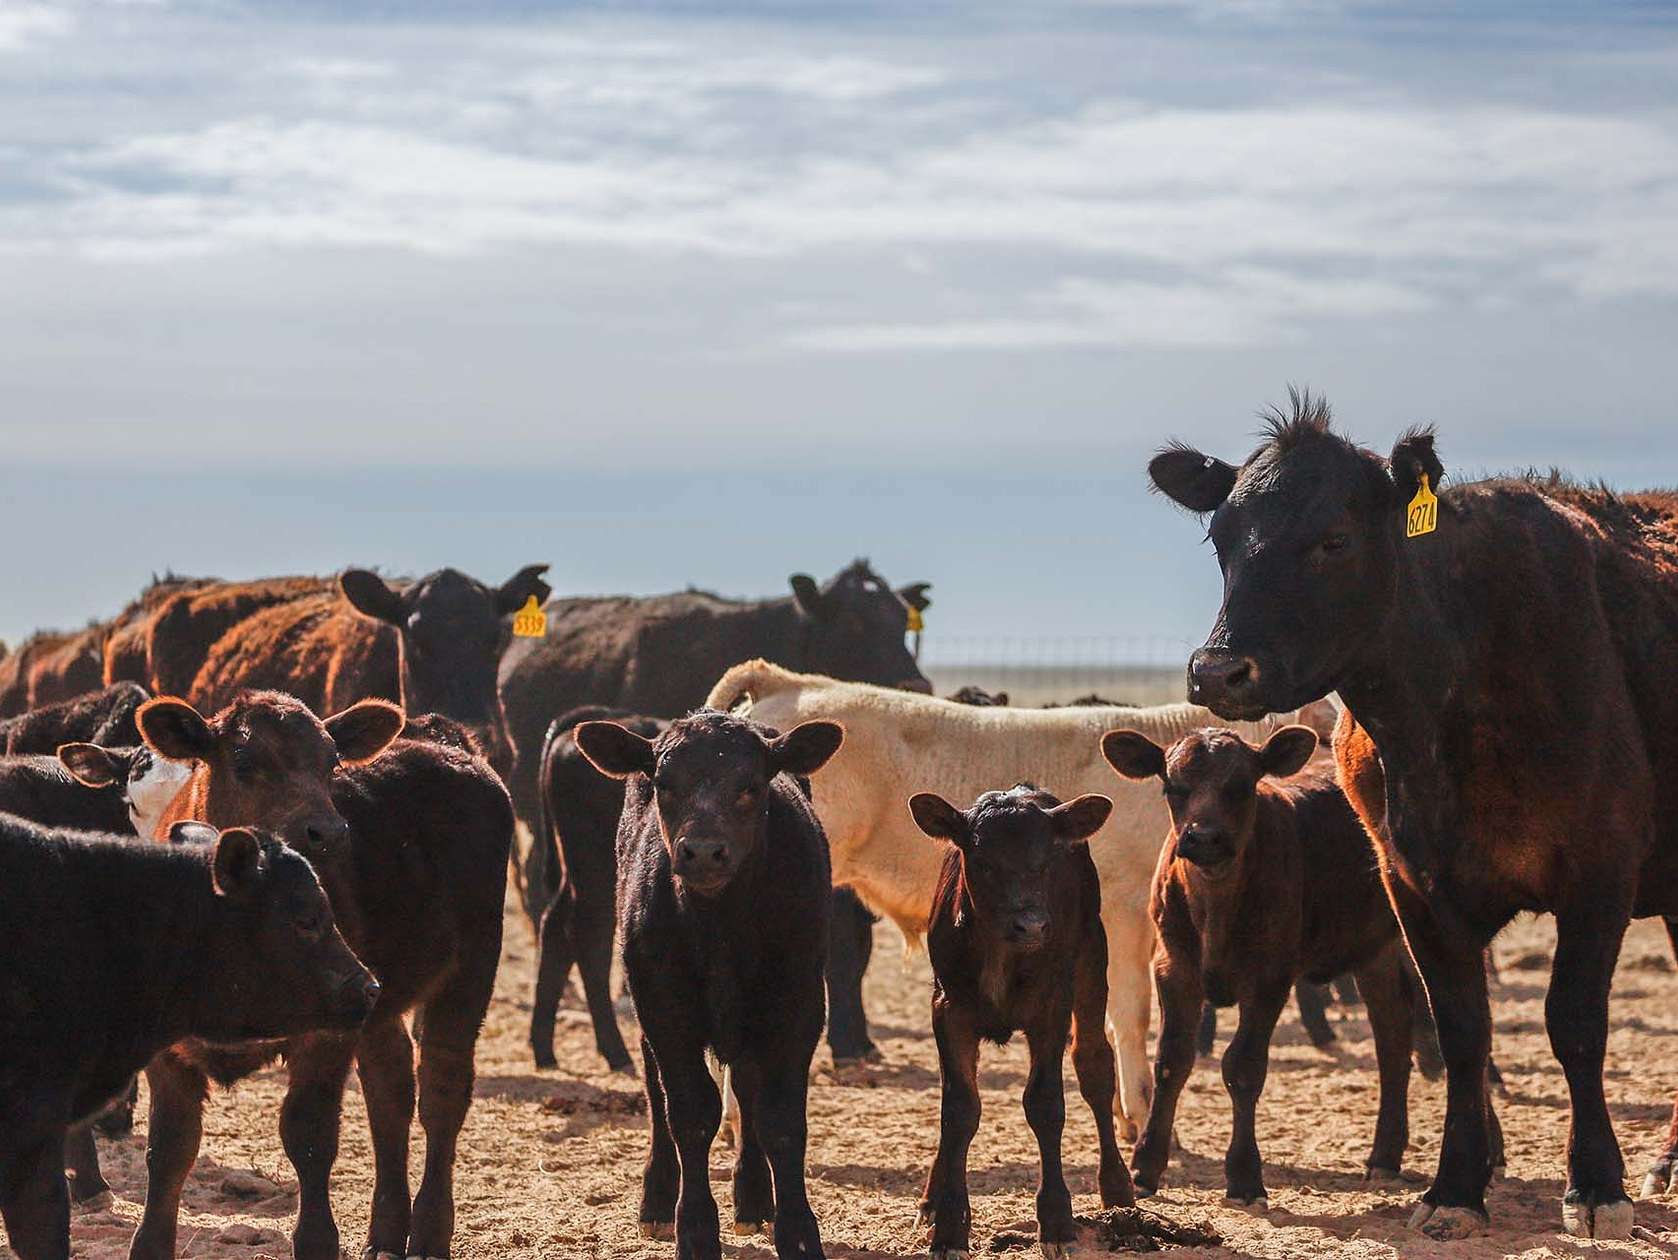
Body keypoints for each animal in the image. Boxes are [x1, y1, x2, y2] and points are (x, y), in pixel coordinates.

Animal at [577, 711, 845, 1260]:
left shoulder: (799, 1007)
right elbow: (690, 1112)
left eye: (751, 786)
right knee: (657, 1094)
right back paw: (658, 1200)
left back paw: (753, 1197)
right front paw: (695, 1229)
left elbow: (780, 1118)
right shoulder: (663, 1007)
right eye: (665, 784)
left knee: (746, 1087)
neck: (722, 927)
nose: (702, 852)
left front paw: (798, 1230)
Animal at [1100, 728, 1416, 1214]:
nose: (1204, 838)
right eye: (1173, 787)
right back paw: (1384, 1156)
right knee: (1393, 1033)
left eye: (1242, 786)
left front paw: (1245, 1176)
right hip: (1373, 948)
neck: (1216, 904)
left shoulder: (1268, 977)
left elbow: (1243, 1066)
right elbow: (1172, 1060)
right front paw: (1145, 1167)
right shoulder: (1174, 967)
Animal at [1147, 389, 1678, 1234]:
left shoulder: (1601, 874)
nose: (1219, 671)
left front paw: (1596, 1186)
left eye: (1333, 539)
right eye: (1222, 538)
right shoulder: (1413, 887)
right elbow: (1460, 1031)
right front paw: (1455, 1186)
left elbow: (1575, 1024)